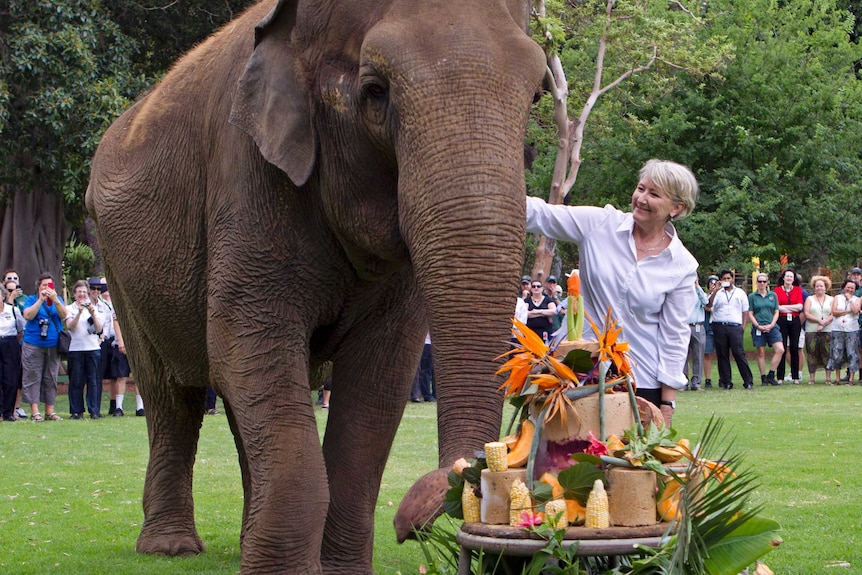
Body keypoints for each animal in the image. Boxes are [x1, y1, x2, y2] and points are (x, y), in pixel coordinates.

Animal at [88, 0, 548, 572]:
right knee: (172, 394)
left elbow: (378, 378)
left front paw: (338, 569)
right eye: (375, 90)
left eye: (538, 94)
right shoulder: (246, 175)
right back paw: (170, 547)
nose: (410, 522)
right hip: (119, 269)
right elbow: (248, 344)